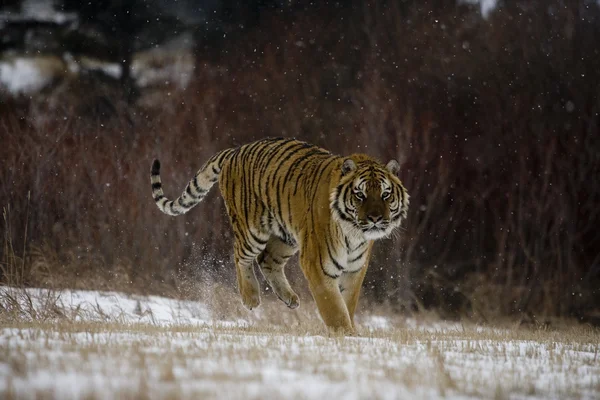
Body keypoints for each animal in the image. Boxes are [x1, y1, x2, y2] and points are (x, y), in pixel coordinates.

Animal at [152, 138, 410, 334]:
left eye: (385, 194)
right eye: (360, 195)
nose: (375, 218)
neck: (354, 234)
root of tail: (235, 150)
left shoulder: (355, 269)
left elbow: (347, 302)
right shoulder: (317, 265)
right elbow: (334, 307)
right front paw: (346, 334)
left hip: (287, 237)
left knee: (267, 260)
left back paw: (290, 298)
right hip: (252, 230)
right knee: (240, 255)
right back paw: (250, 297)